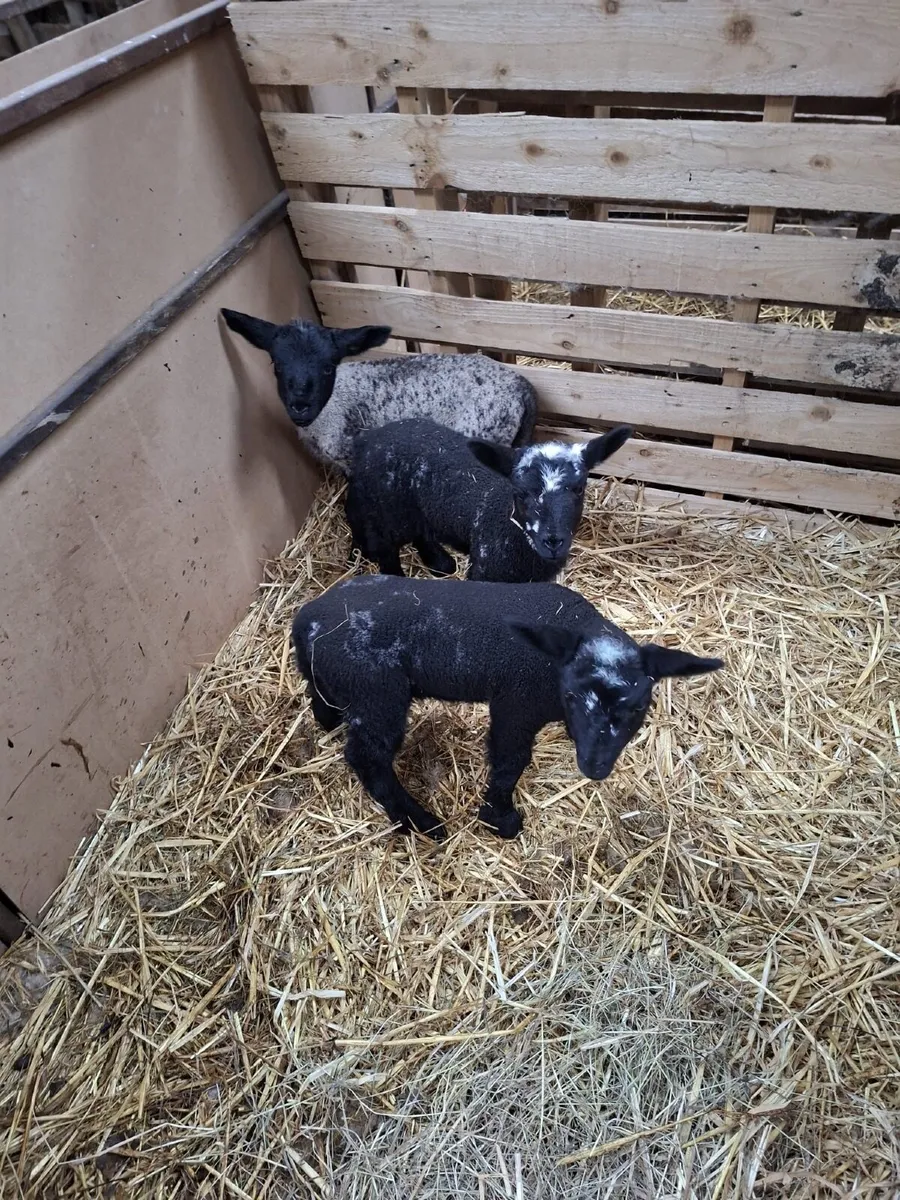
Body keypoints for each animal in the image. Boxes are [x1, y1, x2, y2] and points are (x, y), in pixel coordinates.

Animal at [220, 309, 537, 472]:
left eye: (328, 367)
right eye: (276, 364)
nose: (300, 407)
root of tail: (520, 386)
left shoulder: (350, 454)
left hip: (481, 431)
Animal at [292, 576, 722, 840]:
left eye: (638, 708)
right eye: (571, 696)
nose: (595, 768)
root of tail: (307, 618)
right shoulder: (516, 704)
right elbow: (509, 760)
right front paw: (500, 818)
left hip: (341, 682)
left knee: (322, 701)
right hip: (377, 691)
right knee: (368, 758)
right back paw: (421, 822)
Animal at [344, 418, 633, 581]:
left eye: (579, 488)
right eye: (519, 493)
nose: (553, 542)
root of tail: (369, 437)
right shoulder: (484, 572)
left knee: (422, 531)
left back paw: (441, 564)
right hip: (387, 508)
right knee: (386, 546)